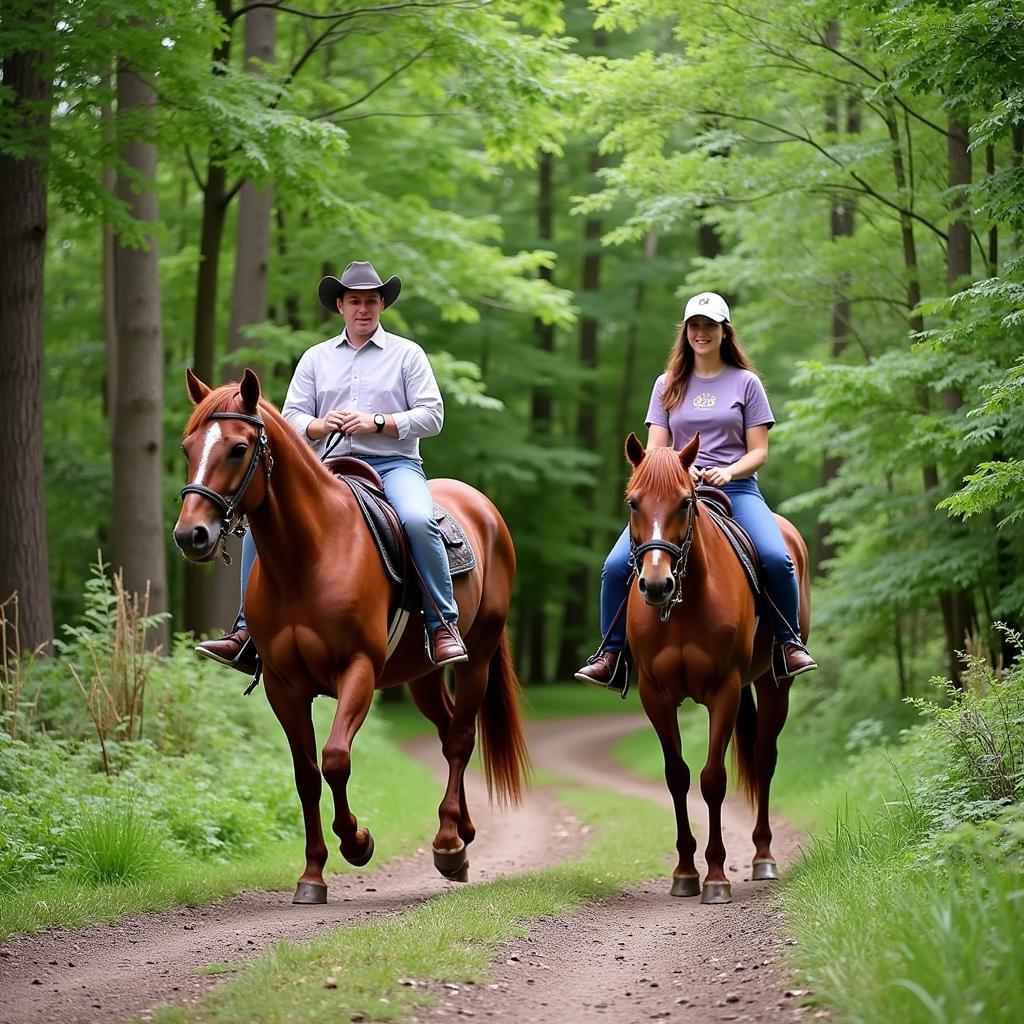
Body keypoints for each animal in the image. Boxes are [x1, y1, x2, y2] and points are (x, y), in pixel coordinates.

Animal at [171, 370, 528, 905]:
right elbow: (306, 776)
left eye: (237, 448)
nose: (190, 534)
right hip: (421, 675)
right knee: (446, 731)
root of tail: (484, 508)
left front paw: (357, 842)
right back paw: (462, 837)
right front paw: (312, 874)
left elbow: (336, 759)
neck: (308, 556)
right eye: (188, 446)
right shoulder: (283, 686)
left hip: (477, 659)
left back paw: (447, 842)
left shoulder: (357, 669)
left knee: (461, 739)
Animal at [622, 432, 806, 905]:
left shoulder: (724, 689)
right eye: (633, 502)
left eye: (685, 502)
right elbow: (677, 777)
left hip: (774, 684)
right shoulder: (654, 694)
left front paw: (717, 876)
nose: (656, 585)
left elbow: (713, 779)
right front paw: (685, 872)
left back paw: (763, 858)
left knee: (764, 758)